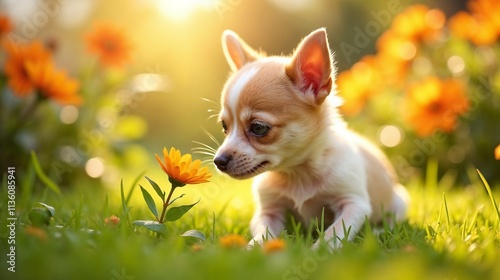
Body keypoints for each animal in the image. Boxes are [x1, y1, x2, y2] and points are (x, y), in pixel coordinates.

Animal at [213, 28, 408, 250]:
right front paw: (251, 249)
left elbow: (335, 231)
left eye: (258, 128)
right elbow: (264, 232)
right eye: (224, 126)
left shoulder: (353, 203)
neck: (298, 173)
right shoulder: (269, 211)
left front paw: (319, 250)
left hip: (401, 201)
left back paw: (378, 232)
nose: (218, 161)